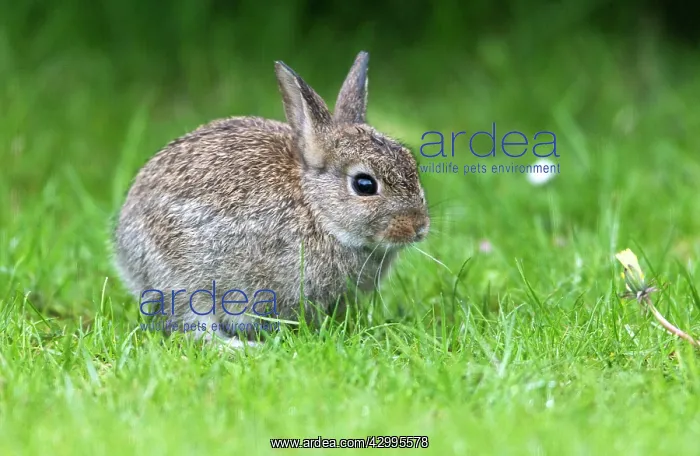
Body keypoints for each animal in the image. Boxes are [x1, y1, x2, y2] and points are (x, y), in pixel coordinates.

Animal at [113, 51, 430, 348]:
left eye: (411, 166)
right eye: (365, 185)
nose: (419, 227)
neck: (316, 209)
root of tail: (124, 249)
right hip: (182, 280)